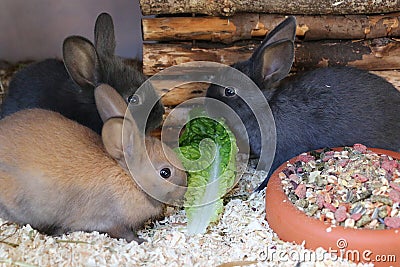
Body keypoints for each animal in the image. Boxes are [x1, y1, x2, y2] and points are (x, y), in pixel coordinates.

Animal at [0, 84, 187, 245]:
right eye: (165, 173)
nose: (184, 188)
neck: (129, 178)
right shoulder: (108, 220)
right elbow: (123, 232)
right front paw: (139, 240)